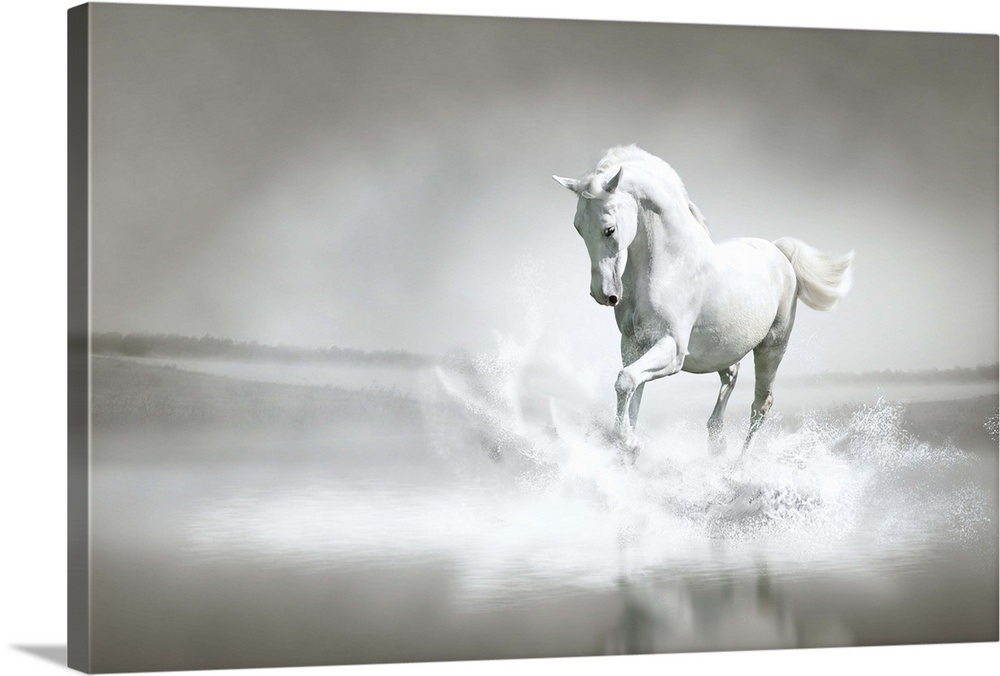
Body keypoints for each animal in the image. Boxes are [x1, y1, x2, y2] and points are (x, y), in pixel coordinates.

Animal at [553, 145, 853, 460]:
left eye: (609, 229)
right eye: (578, 227)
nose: (604, 294)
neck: (670, 264)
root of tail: (779, 252)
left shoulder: (672, 349)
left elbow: (625, 381)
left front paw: (629, 443)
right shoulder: (633, 345)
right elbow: (632, 387)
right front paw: (627, 445)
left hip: (772, 347)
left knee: (760, 405)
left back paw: (739, 465)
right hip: (724, 348)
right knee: (731, 376)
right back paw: (716, 441)